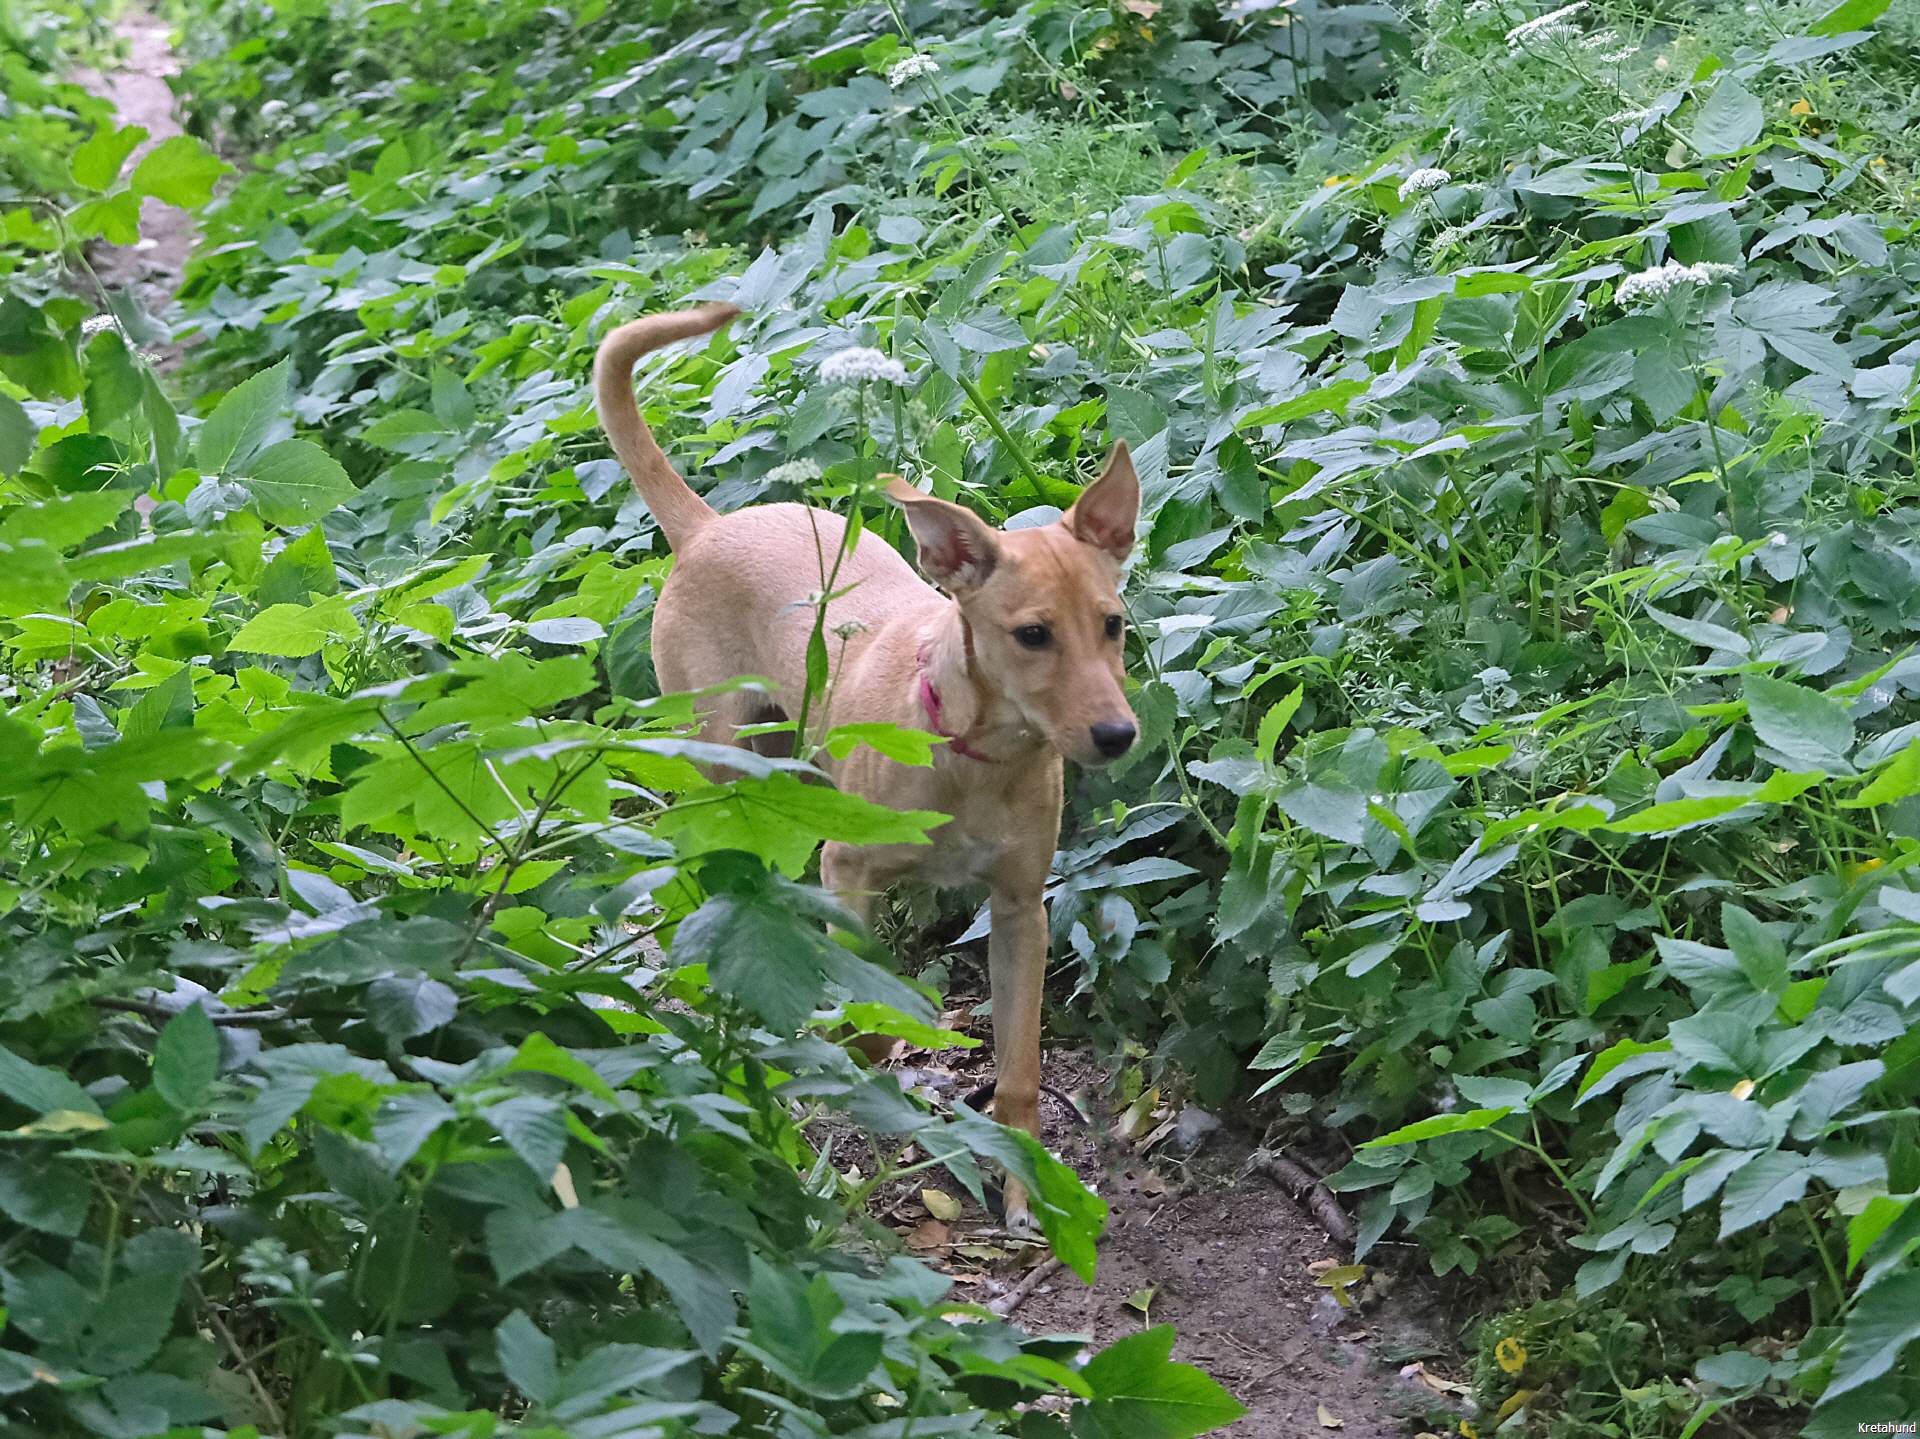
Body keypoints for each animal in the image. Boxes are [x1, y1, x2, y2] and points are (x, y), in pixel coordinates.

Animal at [595, 305, 1139, 1231]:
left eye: (1114, 624)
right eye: (1033, 635)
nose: (1116, 734)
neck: (972, 754)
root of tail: (709, 525)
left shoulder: (1020, 909)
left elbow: (1020, 1068)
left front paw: (1025, 1185)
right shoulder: (847, 869)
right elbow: (869, 1005)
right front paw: (861, 1041)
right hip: (722, 762)